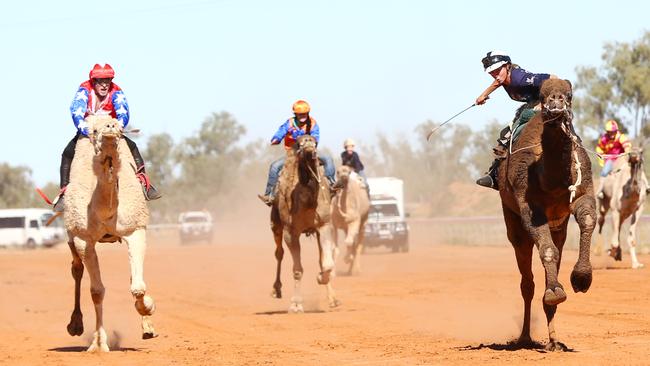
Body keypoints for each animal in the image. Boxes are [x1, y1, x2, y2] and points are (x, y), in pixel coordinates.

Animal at [63, 116, 156, 352]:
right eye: (94, 130)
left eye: (118, 124)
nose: (110, 128)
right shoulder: (83, 239)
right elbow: (97, 291)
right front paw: (99, 344)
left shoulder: (135, 230)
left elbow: (137, 286)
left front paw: (148, 309)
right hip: (71, 236)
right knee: (76, 270)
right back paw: (75, 325)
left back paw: (147, 328)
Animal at [268, 134, 340, 312]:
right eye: (299, 144)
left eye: (314, 142)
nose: (308, 144)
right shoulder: (290, 232)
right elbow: (297, 269)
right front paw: (295, 304)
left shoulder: (324, 225)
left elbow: (326, 263)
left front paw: (321, 278)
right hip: (275, 225)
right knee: (279, 253)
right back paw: (276, 290)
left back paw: (332, 299)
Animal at [498, 78, 596, 350]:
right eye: (542, 96)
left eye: (569, 95)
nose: (556, 101)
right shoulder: (528, 208)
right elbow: (547, 250)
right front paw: (556, 292)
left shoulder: (582, 190)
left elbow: (587, 219)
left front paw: (581, 278)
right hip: (512, 221)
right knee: (527, 282)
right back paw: (524, 337)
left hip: (558, 226)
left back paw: (554, 340)